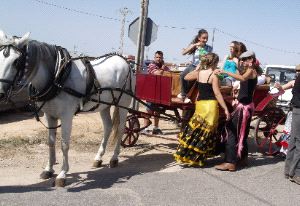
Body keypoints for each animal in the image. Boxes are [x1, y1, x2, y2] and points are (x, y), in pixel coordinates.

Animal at [0, 31, 134, 187]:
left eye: (16, 61)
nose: (0, 93)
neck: (57, 77)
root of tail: (124, 60)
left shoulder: (66, 116)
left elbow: (64, 144)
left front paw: (62, 174)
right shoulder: (49, 115)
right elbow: (51, 142)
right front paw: (48, 169)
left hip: (123, 103)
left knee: (121, 128)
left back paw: (114, 158)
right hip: (104, 105)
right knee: (108, 127)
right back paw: (98, 158)